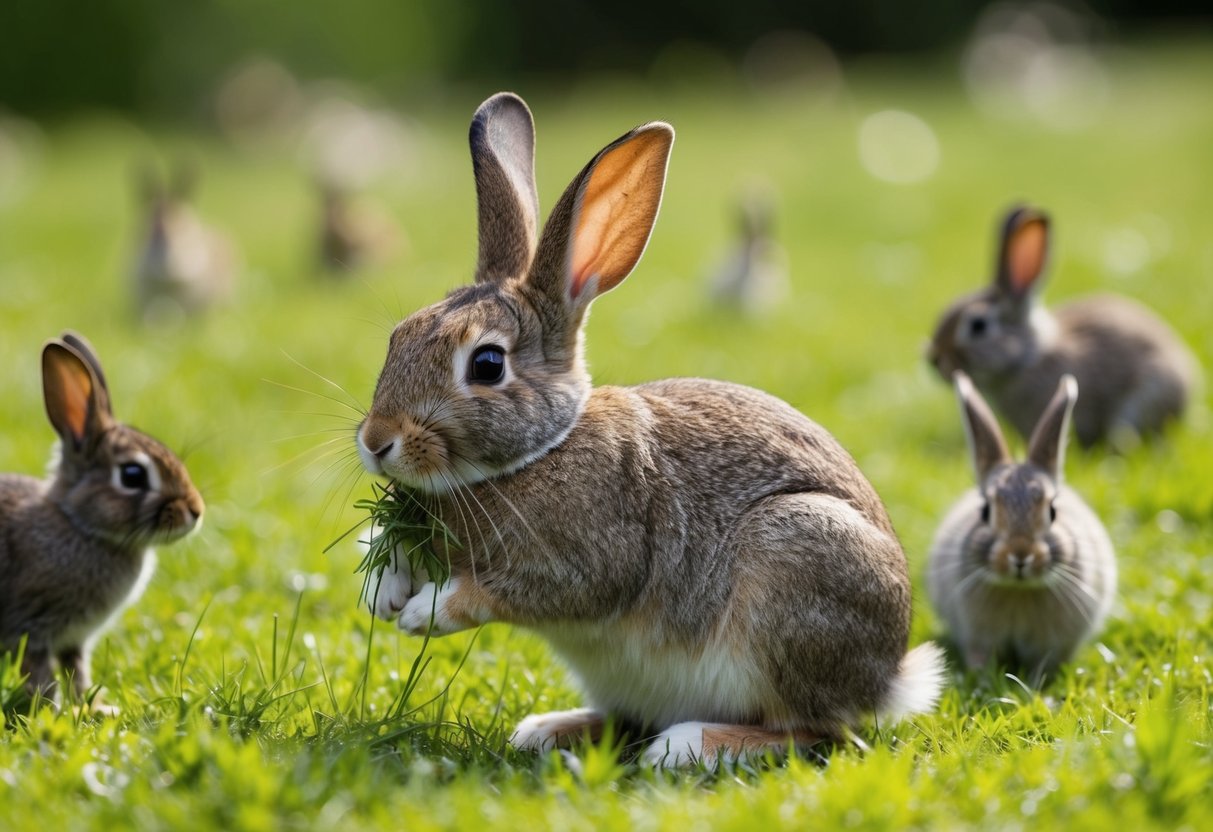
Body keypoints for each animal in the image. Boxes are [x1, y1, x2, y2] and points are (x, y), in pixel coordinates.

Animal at [0, 332, 204, 707]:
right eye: (133, 475)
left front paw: (92, 707)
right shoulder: (31, 628)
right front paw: (53, 711)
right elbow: (42, 678)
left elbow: (76, 671)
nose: (196, 511)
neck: (80, 525)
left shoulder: (74, 640)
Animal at [354, 92, 945, 768]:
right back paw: (551, 729)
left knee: (814, 729)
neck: (542, 450)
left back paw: (689, 745)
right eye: (398, 336)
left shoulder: (591, 559)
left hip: (796, 561)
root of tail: (890, 678)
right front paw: (383, 592)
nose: (376, 442)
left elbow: (512, 591)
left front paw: (425, 612)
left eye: (486, 365)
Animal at [927, 370, 1116, 678]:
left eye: (1052, 511)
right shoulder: (978, 636)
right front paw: (983, 677)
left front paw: (1038, 680)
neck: (1019, 590)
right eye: (985, 511)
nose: (1020, 555)